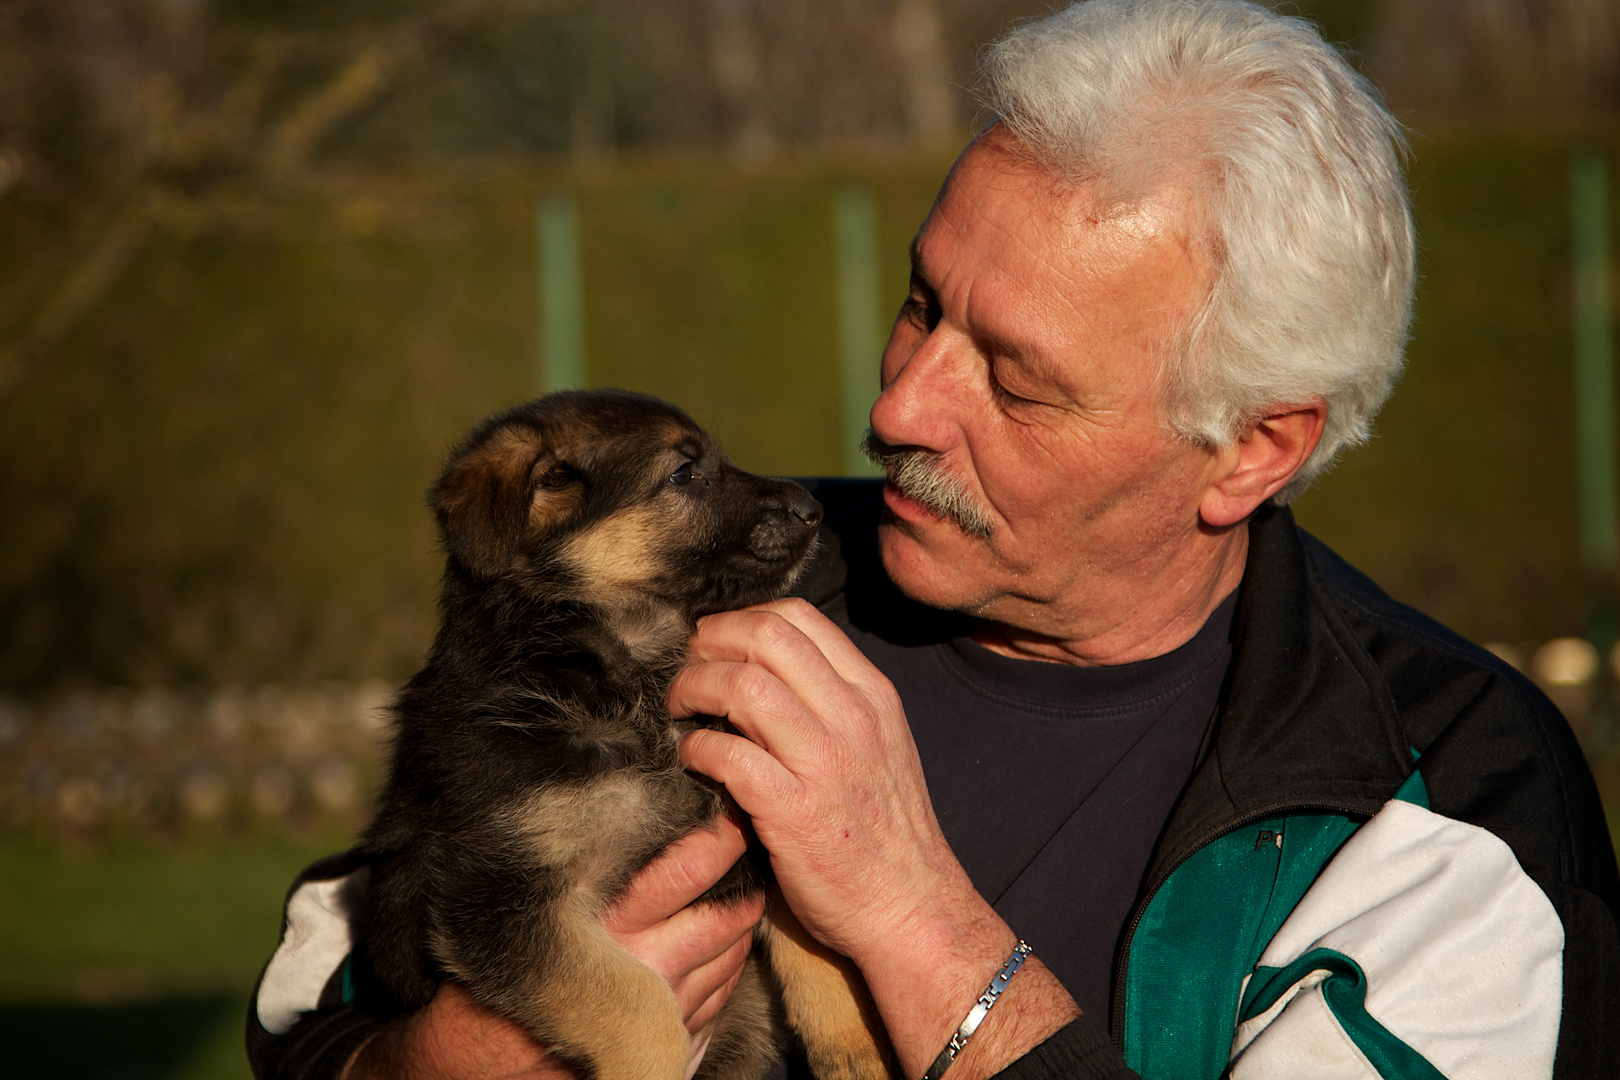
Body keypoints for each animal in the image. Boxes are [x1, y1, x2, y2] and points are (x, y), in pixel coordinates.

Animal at [358, 393, 900, 1080]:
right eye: (683, 474)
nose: (815, 509)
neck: (633, 676)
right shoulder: (500, 898)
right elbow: (637, 1004)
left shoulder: (764, 816)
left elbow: (817, 945)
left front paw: (856, 1048)